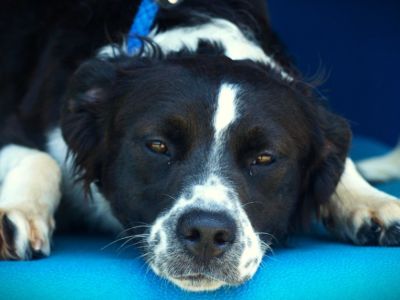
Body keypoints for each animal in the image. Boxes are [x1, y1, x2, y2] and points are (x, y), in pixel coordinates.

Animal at [0, 0, 400, 290]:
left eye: (265, 158)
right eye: (158, 146)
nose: (207, 233)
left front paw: (371, 201)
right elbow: (41, 159)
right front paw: (19, 211)